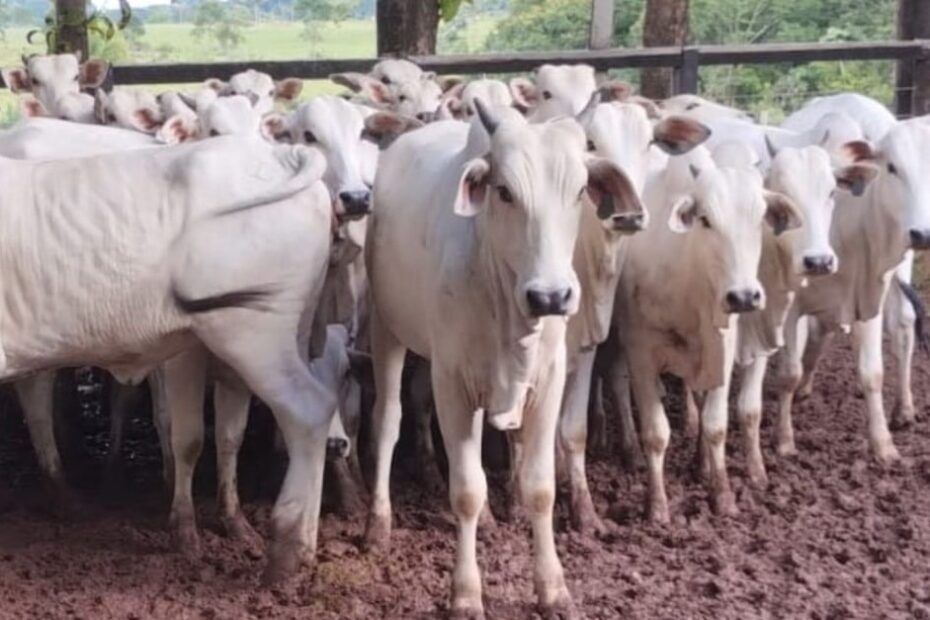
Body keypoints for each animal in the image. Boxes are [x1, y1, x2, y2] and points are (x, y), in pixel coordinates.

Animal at [362, 101, 640, 616]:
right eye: (505, 192)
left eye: (579, 191)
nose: (551, 296)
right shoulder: (452, 385)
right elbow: (467, 491)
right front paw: (465, 594)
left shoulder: (548, 383)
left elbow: (540, 488)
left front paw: (553, 588)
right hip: (384, 328)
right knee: (387, 421)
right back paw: (378, 524)